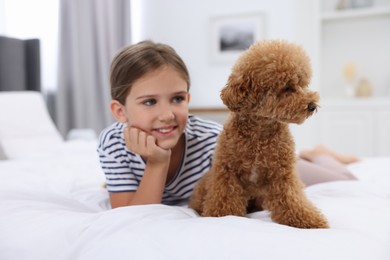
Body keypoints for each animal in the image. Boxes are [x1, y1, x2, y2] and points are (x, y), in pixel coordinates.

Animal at [189, 39, 330, 229]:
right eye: (287, 87)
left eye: (302, 84)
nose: (312, 106)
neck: (259, 133)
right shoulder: (227, 172)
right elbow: (225, 199)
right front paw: (222, 217)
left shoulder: (283, 175)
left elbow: (292, 200)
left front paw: (310, 220)